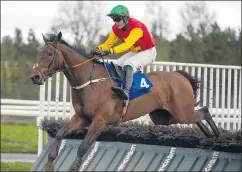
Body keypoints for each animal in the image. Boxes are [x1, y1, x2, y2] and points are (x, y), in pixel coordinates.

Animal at [29, 31, 219, 171]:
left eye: (50, 54)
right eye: (39, 54)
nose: (35, 77)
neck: (91, 82)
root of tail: (179, 75)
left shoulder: (100, 121)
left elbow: (83, 147)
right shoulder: (82, 118)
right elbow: (60, 134)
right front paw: (49, 165)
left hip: (180, 113)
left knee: (204, 111)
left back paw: (217, 135)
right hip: (164, 117)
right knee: (196, 115)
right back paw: (209, 135)